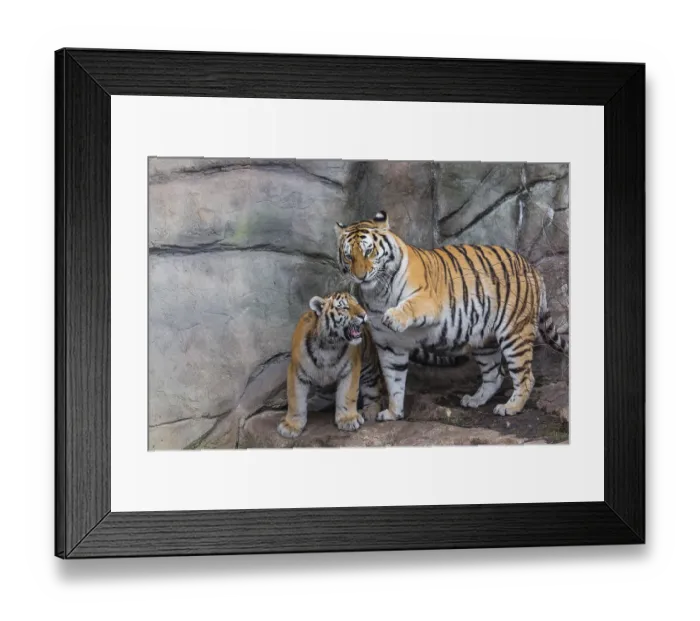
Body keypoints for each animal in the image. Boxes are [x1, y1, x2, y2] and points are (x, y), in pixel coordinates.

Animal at [277, 292, 385, 439]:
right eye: (344, 308)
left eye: (357, 304)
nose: (363, 315)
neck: (329, 345)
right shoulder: (296, 370)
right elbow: (295, 399)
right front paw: (291, 426)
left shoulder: (351, 368)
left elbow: (348, 394)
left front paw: (347, 419)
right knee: (326, 395)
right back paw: (312, 405)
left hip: (369, 370)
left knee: (373, 393)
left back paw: (370, 412)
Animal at [334, 210, 568, 420]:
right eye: (349, 256)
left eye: (369, 251)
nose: (361, 276)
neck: (378, 292)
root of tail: (532, 267)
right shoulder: (389, 345)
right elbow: (394, 382)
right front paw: (393, 413)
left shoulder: (428, 300)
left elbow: (409, 305)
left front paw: (393, 316)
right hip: (485, 340)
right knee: (495, 375)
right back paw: (474, 400)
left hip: (515, 332)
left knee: (526, 376)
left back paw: (510, 407)